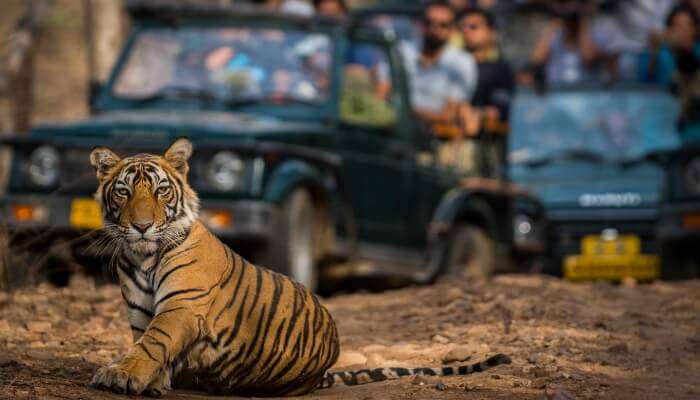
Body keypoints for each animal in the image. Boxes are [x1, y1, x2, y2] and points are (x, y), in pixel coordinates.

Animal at [90, 138, 512, 396]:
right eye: (123, 191)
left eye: (161, 190)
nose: (142, 226)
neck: (142, 256)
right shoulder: (140, 311)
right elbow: (146, 342)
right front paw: (150, 380)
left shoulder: (182, 305)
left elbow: (153, 342)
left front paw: (121, 375)